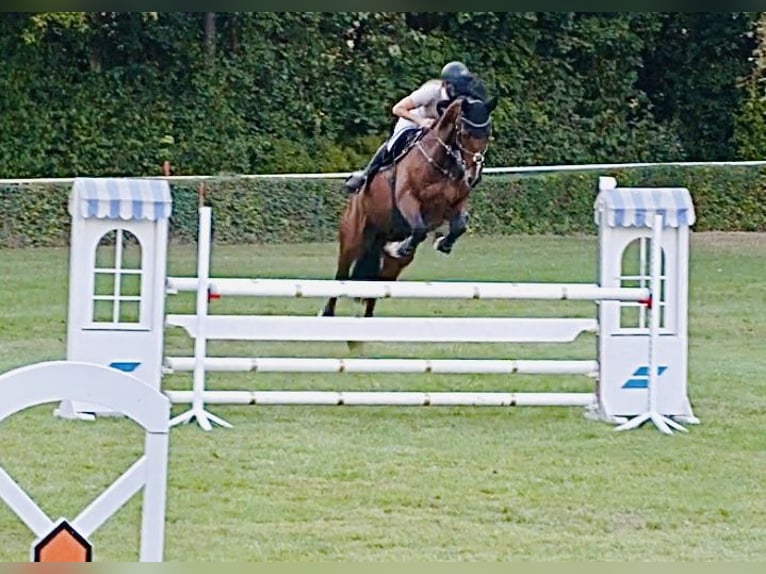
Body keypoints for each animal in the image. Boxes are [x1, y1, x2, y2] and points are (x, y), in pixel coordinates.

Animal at [320, 93, 498, 322]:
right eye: (465, 133)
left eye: (487, 134)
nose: (473, 177)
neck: (443, 163)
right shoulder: (407, 199)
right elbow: (419, 229)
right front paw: (405, 246)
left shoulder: (455, 205)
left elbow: (459, 226)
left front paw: (442, 243)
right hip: (353, 239)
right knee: (340, 277)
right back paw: (327, 312)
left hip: (390, 262)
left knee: (378, 286)